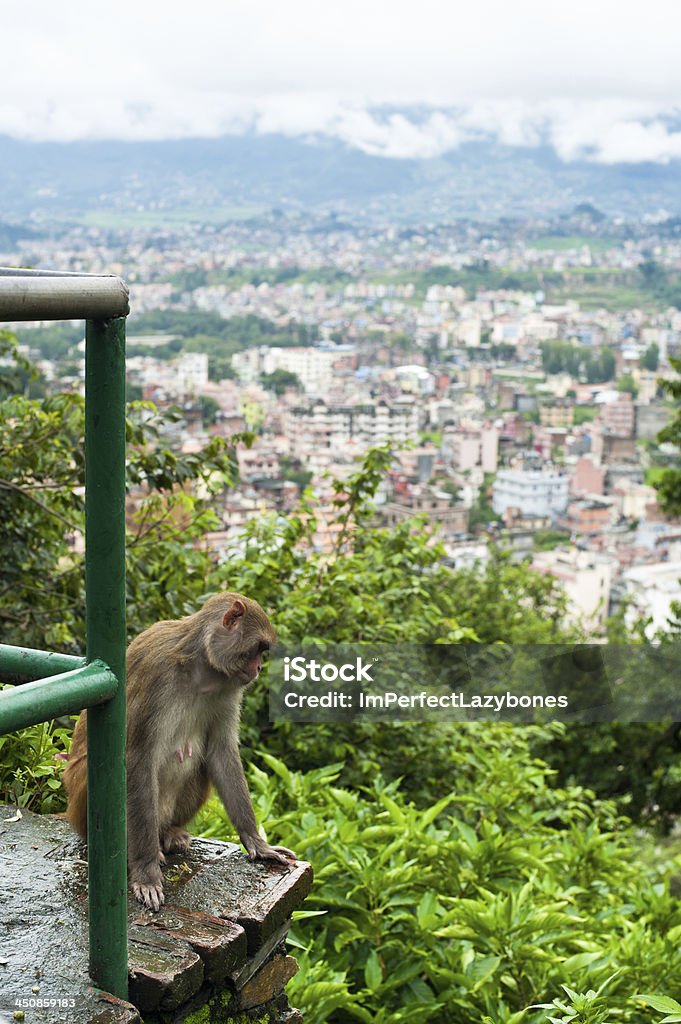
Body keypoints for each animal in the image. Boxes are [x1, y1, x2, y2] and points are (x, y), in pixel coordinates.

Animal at [63, 593, 294, 913]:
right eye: (258, 649)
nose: (258, 669)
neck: (201, 666)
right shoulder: (156, 673)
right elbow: (137, 758)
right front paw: (146, 872)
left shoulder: (228, 687)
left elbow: (221, 752)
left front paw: (256, 842)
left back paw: (169, 833)